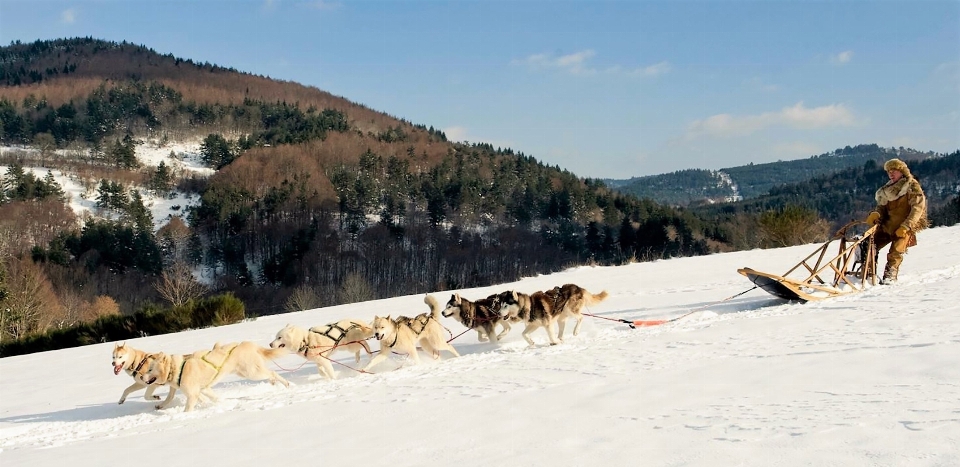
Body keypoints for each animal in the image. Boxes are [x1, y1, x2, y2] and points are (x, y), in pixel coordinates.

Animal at [137, 340, 290, 414]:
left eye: (150, 369)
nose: (140, 377)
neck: (177, 369)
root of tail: (247, 344)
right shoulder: (203, 390)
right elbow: (213, 399)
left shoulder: (192, 395)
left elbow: (188, 408)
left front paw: (185, 415)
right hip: (245, 372)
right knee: (269, 374)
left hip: (251, 372)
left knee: (272, 373)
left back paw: (287, 384)